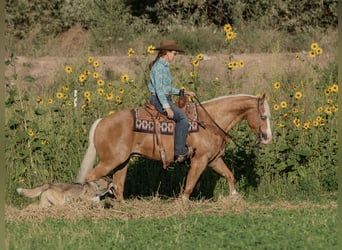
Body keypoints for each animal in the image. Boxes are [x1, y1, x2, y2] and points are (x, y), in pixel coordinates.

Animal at [76, 94, 272, 201]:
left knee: (118, 185)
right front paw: (182, 204)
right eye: (263, 116)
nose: (268, 138)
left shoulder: (213, 160)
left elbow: (229, 175)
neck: (209, 121)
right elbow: (189, 185)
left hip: (122, 162)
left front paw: (234, 197)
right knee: (91, 177)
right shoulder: (199, 161)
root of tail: (102, 121)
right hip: (111, 161)